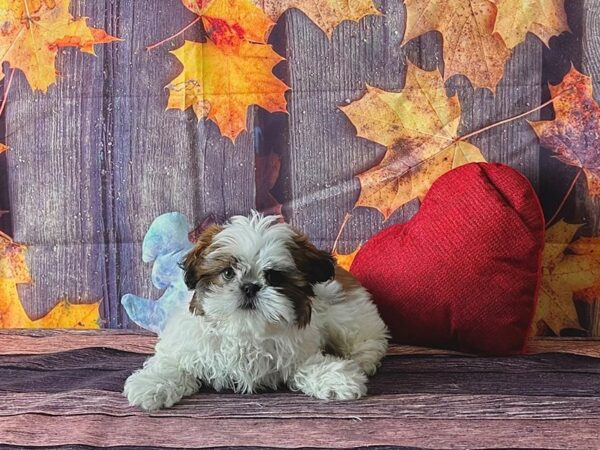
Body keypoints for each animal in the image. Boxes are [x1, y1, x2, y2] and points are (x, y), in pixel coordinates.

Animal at [124, 213, 392, 410]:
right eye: (228, 272)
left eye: (274, 276)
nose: (250, 286)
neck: (245, 329)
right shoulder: (187, 344)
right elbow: (172, 363)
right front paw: (152, 384)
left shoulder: (298, 349)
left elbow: (309, 364)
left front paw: (337, 378)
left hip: (345, 314)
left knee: (368, 339)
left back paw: (363, 359)